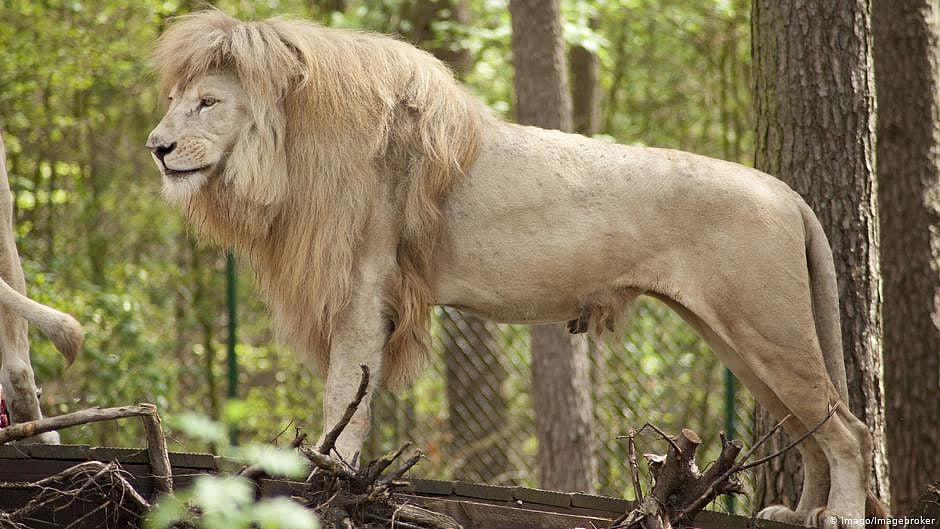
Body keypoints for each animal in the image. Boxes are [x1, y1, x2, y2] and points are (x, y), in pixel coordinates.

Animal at [148, 11, 880, 527]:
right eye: (177, 99)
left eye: (207, 103)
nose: (156, 147)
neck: (290, 151)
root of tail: (786, 191)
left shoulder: (365, 290)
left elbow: (342, 403)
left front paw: (327, 482)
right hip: (741, 338)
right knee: (807, 430)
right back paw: (798, 512)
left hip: (766, 325)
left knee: (848, 428)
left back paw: (840, 514)